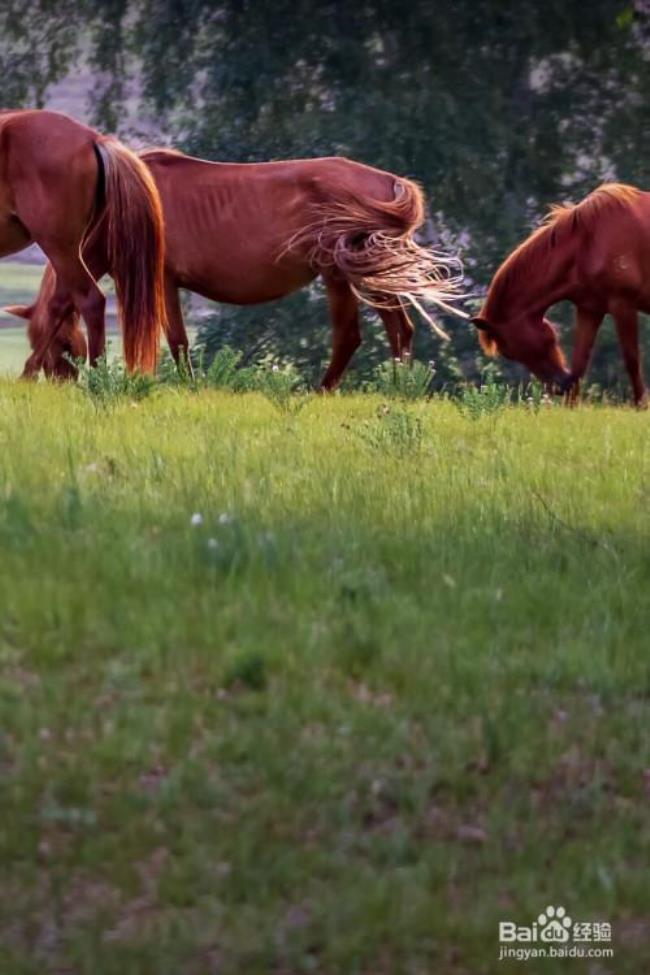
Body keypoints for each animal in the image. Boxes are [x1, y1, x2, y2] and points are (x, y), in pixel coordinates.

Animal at [0, 108, 166, 376]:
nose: (62, 379)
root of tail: (93, 139)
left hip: (59, 246)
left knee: (90, 301)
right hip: (71, 250)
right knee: (61, 302)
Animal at [11, 149, 466, 388]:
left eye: (66, 345)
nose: (54, 381)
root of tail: (388, 181)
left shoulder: (160, 280)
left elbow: (176, 340)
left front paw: (187, 386)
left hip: (340, 274)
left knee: (351, 337)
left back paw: (322, 392)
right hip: (367, 273)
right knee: (399, 329)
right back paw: (399, 387)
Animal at [468, 183, 648, 404]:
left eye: (509, 351)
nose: (559, 386)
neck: (589, 242)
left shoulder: (623, 304)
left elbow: (632, 360)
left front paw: (641, 405)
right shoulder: (590, 309)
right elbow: (580, 364)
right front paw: (570, 407)